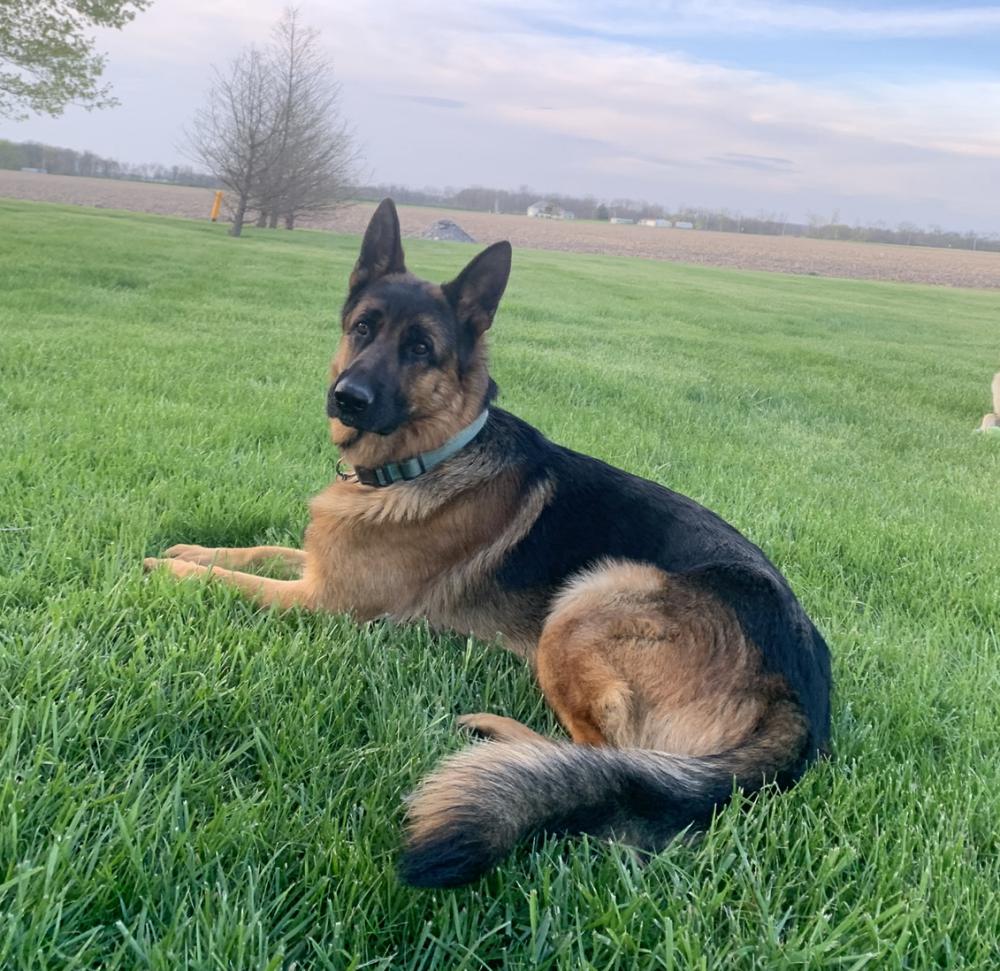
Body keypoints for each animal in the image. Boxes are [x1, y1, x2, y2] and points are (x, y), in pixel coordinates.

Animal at [145, 198, 832, 888]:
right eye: (364, 328)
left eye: (421, 348)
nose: (348, 398)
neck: (431, 456)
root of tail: (803, 693)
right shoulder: (320, 566)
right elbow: (253, 553)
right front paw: (186, 550)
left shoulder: (325, 602)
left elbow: (234, 581)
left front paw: (161, 568)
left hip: (591, 599)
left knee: (608, 755)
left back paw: (502, 737)